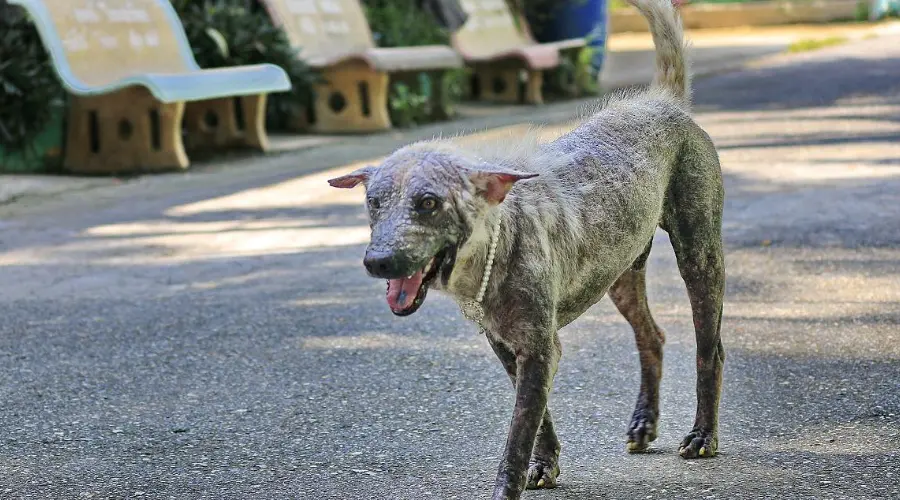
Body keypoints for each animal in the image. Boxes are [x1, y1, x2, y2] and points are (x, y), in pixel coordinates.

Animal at [326, 0, 728, 496]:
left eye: (428, 203)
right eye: (373, 202)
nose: (377, 261)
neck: (499, 244)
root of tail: (661, 99)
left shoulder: (539, 349)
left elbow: (518, 433)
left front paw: (511, 484)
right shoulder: (508, 347)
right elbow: (539, 421)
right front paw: (545, 464)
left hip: (699, 257)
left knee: (709, 350)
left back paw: (703, 434)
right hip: (620, 275)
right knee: (652, 338)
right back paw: (643, 424)